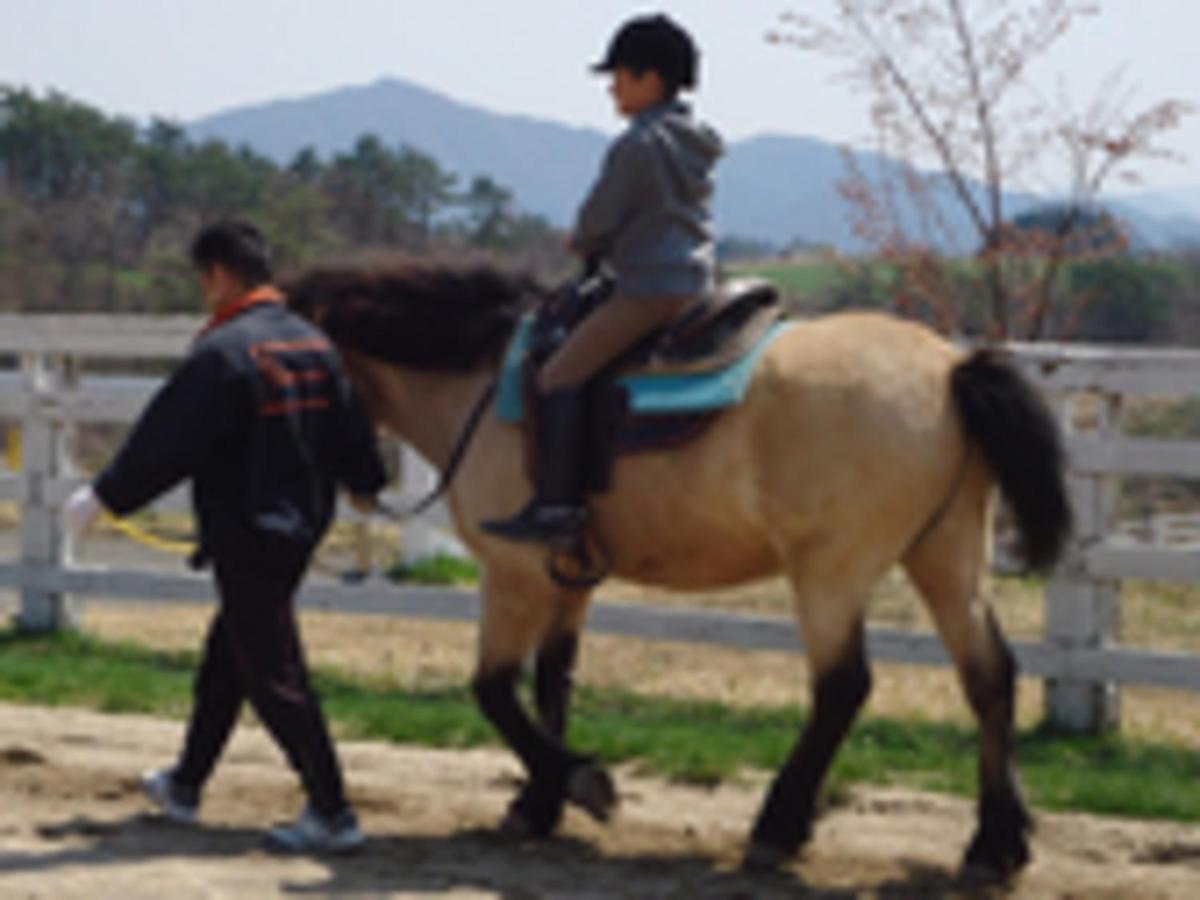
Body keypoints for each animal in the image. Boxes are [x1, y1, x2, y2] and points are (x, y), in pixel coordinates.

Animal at [288, 256, 1070, 883]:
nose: (360, 487)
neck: (482, 382)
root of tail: (949, 369)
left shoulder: (513, 577)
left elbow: (493, 690)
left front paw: (579, 782)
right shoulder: (567, 578)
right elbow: (552, 681)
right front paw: (541, 802)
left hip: (832, 573)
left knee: (843, 687)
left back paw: (777, 827)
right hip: (946, 557)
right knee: (989, 675)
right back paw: (994, 845)